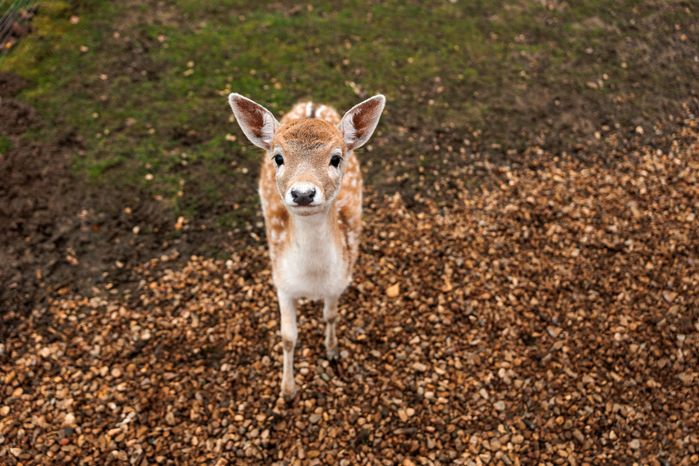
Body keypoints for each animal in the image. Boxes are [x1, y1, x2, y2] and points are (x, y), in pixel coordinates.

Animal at [228, 93, 386, 401]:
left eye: (336, 158)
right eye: (278, 157)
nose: (303, 193)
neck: (312, 282)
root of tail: (312, 104)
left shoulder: (339, 280)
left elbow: (330, 315)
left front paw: (333, 350)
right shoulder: (281, 281)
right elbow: (288, 337)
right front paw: (288, 391)